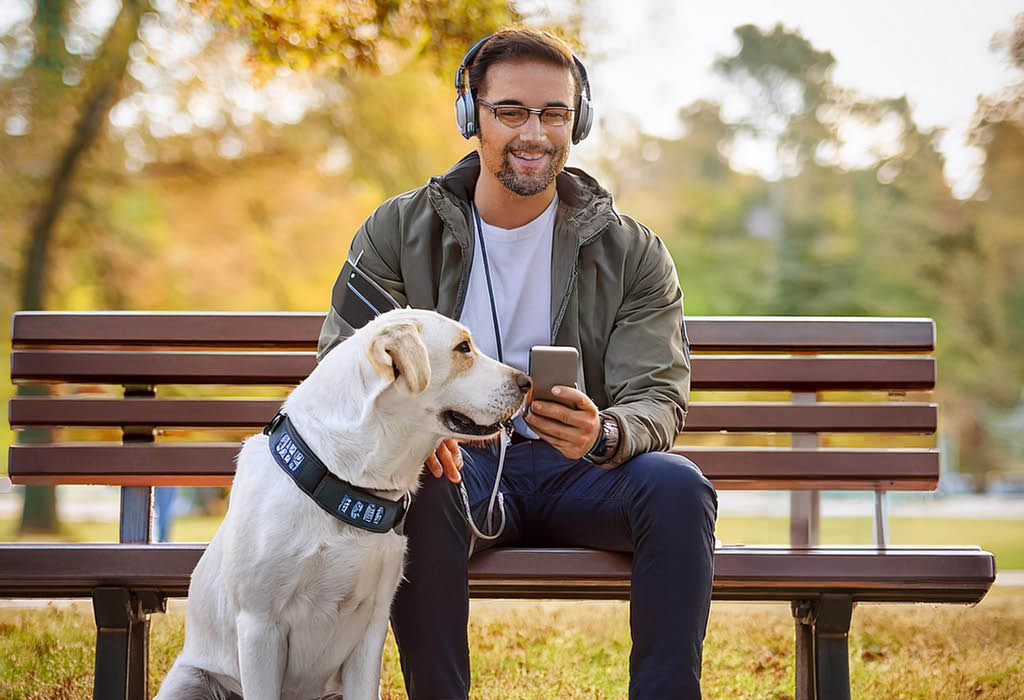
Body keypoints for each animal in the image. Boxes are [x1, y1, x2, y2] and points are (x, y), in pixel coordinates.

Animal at [157, 311, 536, 700]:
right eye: (463, 348)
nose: (527, 382)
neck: (340, 479)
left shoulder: (371, 625)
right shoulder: (259, 625)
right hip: (189, 680)